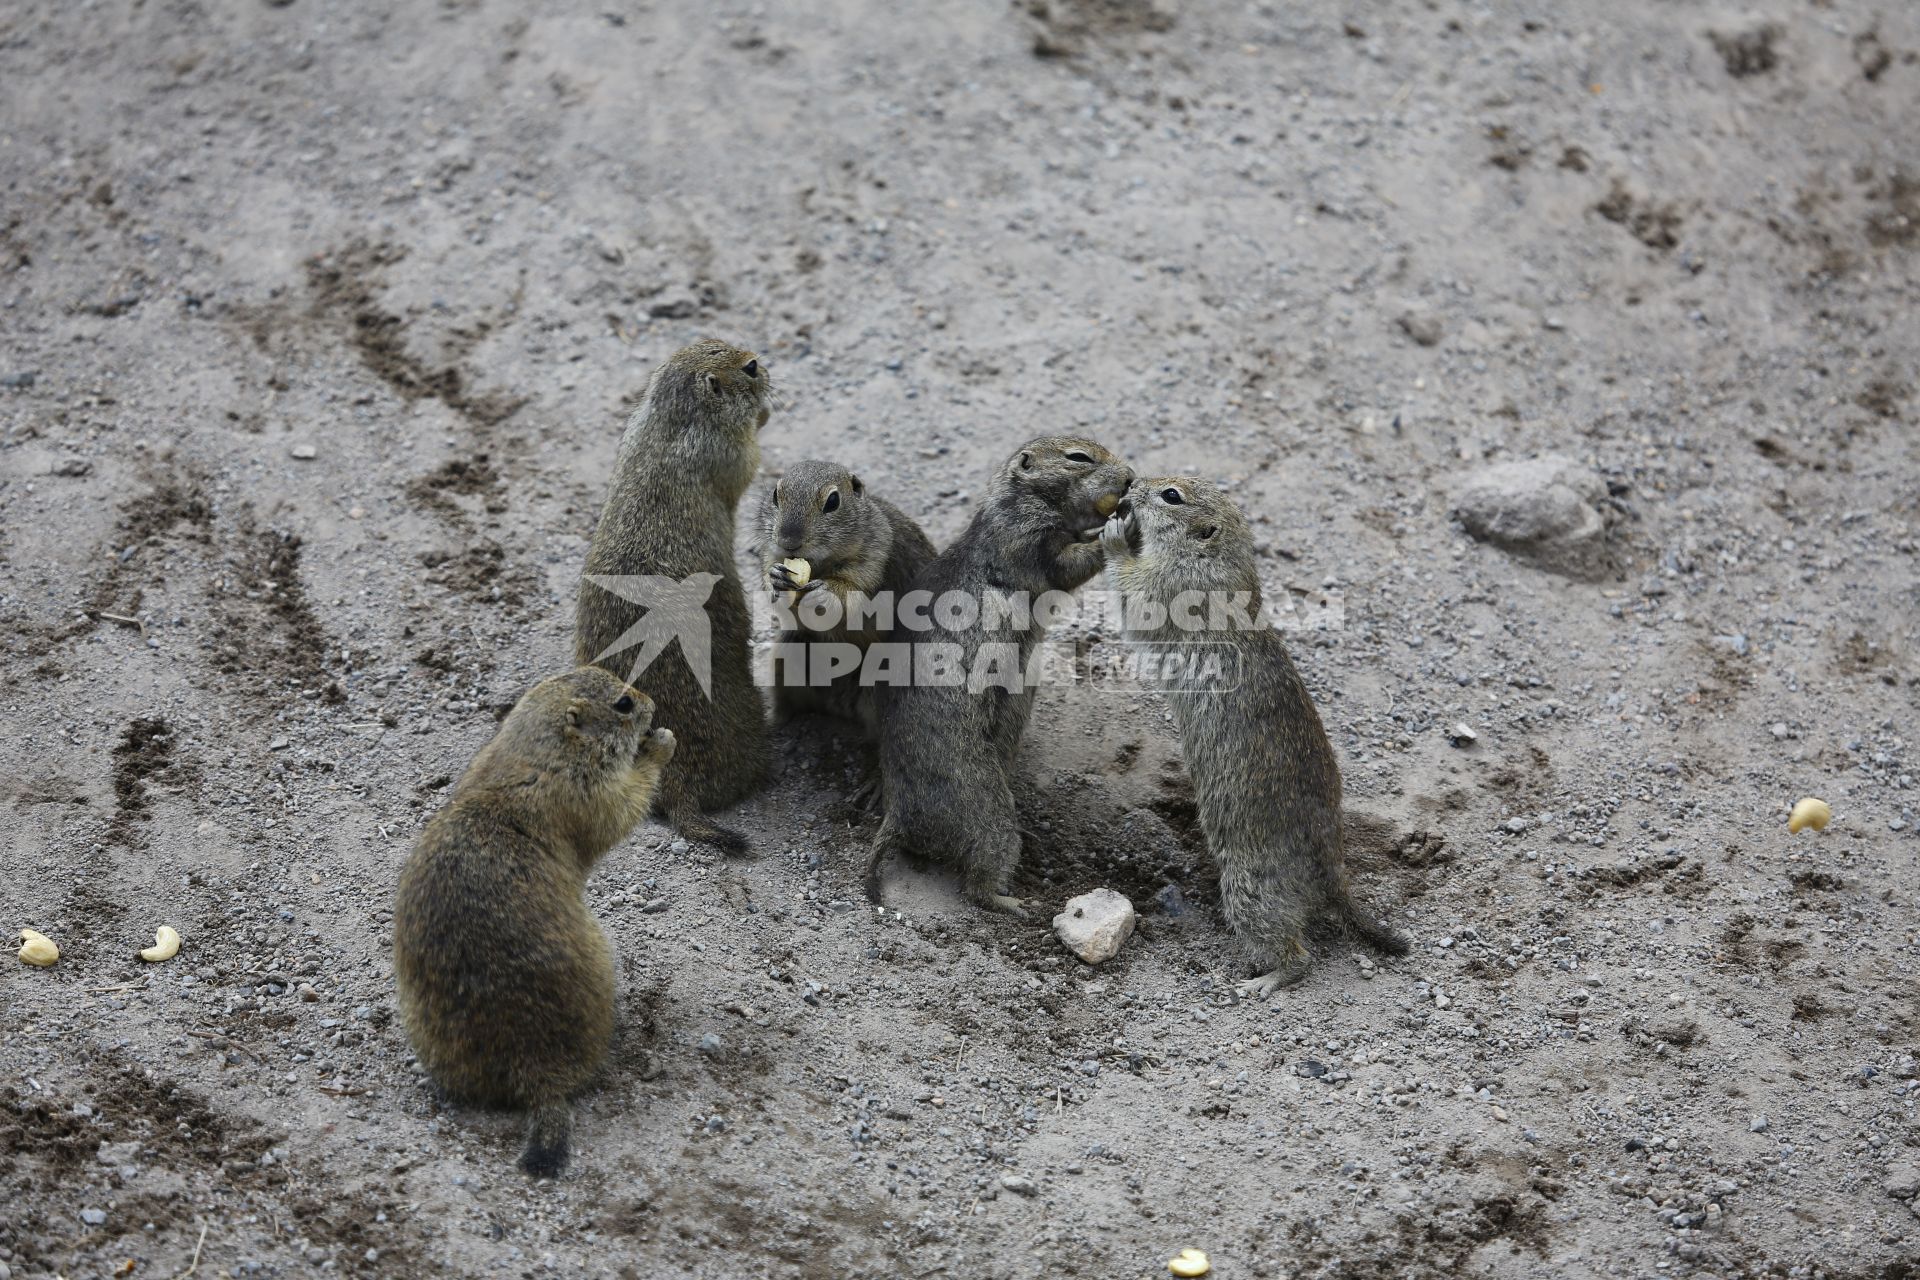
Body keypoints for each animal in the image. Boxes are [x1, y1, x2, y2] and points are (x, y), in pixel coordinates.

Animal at [389, 671, 675, 1182]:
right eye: (623, 704)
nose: (651, 702)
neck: (536, 752)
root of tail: (535, 1075)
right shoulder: (587, 791)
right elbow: (622, 806)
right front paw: (662, 742)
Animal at [576, 337, 771, 852]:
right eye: (749, 368)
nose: (765, 366)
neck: (670, 420)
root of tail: (679, 782)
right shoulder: (730, 449)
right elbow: (748, 461)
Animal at [764, 460, 944, 736]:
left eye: (833, 501)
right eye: (775, 495)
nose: (788, 541)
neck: (822, 565)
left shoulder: (872, 565)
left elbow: (853, 600)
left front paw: (825, 592)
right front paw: (775, 578)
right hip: (785, 658)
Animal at [864, 437, 1128, 909]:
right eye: (1078, 457)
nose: (1132, 478)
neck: (1020, 499)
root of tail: (897, 815)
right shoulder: (1024, 540)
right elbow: (1069, 565)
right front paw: (1114, 530)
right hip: (988, 815)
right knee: (976, 887)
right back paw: (1014, 902)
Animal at [1105, 475, 1405, 997]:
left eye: (1171, 496)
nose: (1132, 483)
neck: (1219, 559)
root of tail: (1333, 869)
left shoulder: (1171, 586)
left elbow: (1136, 593)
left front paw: (1116, 535)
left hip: (1251, 888)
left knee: (1299, 954)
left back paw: (1262, 982)